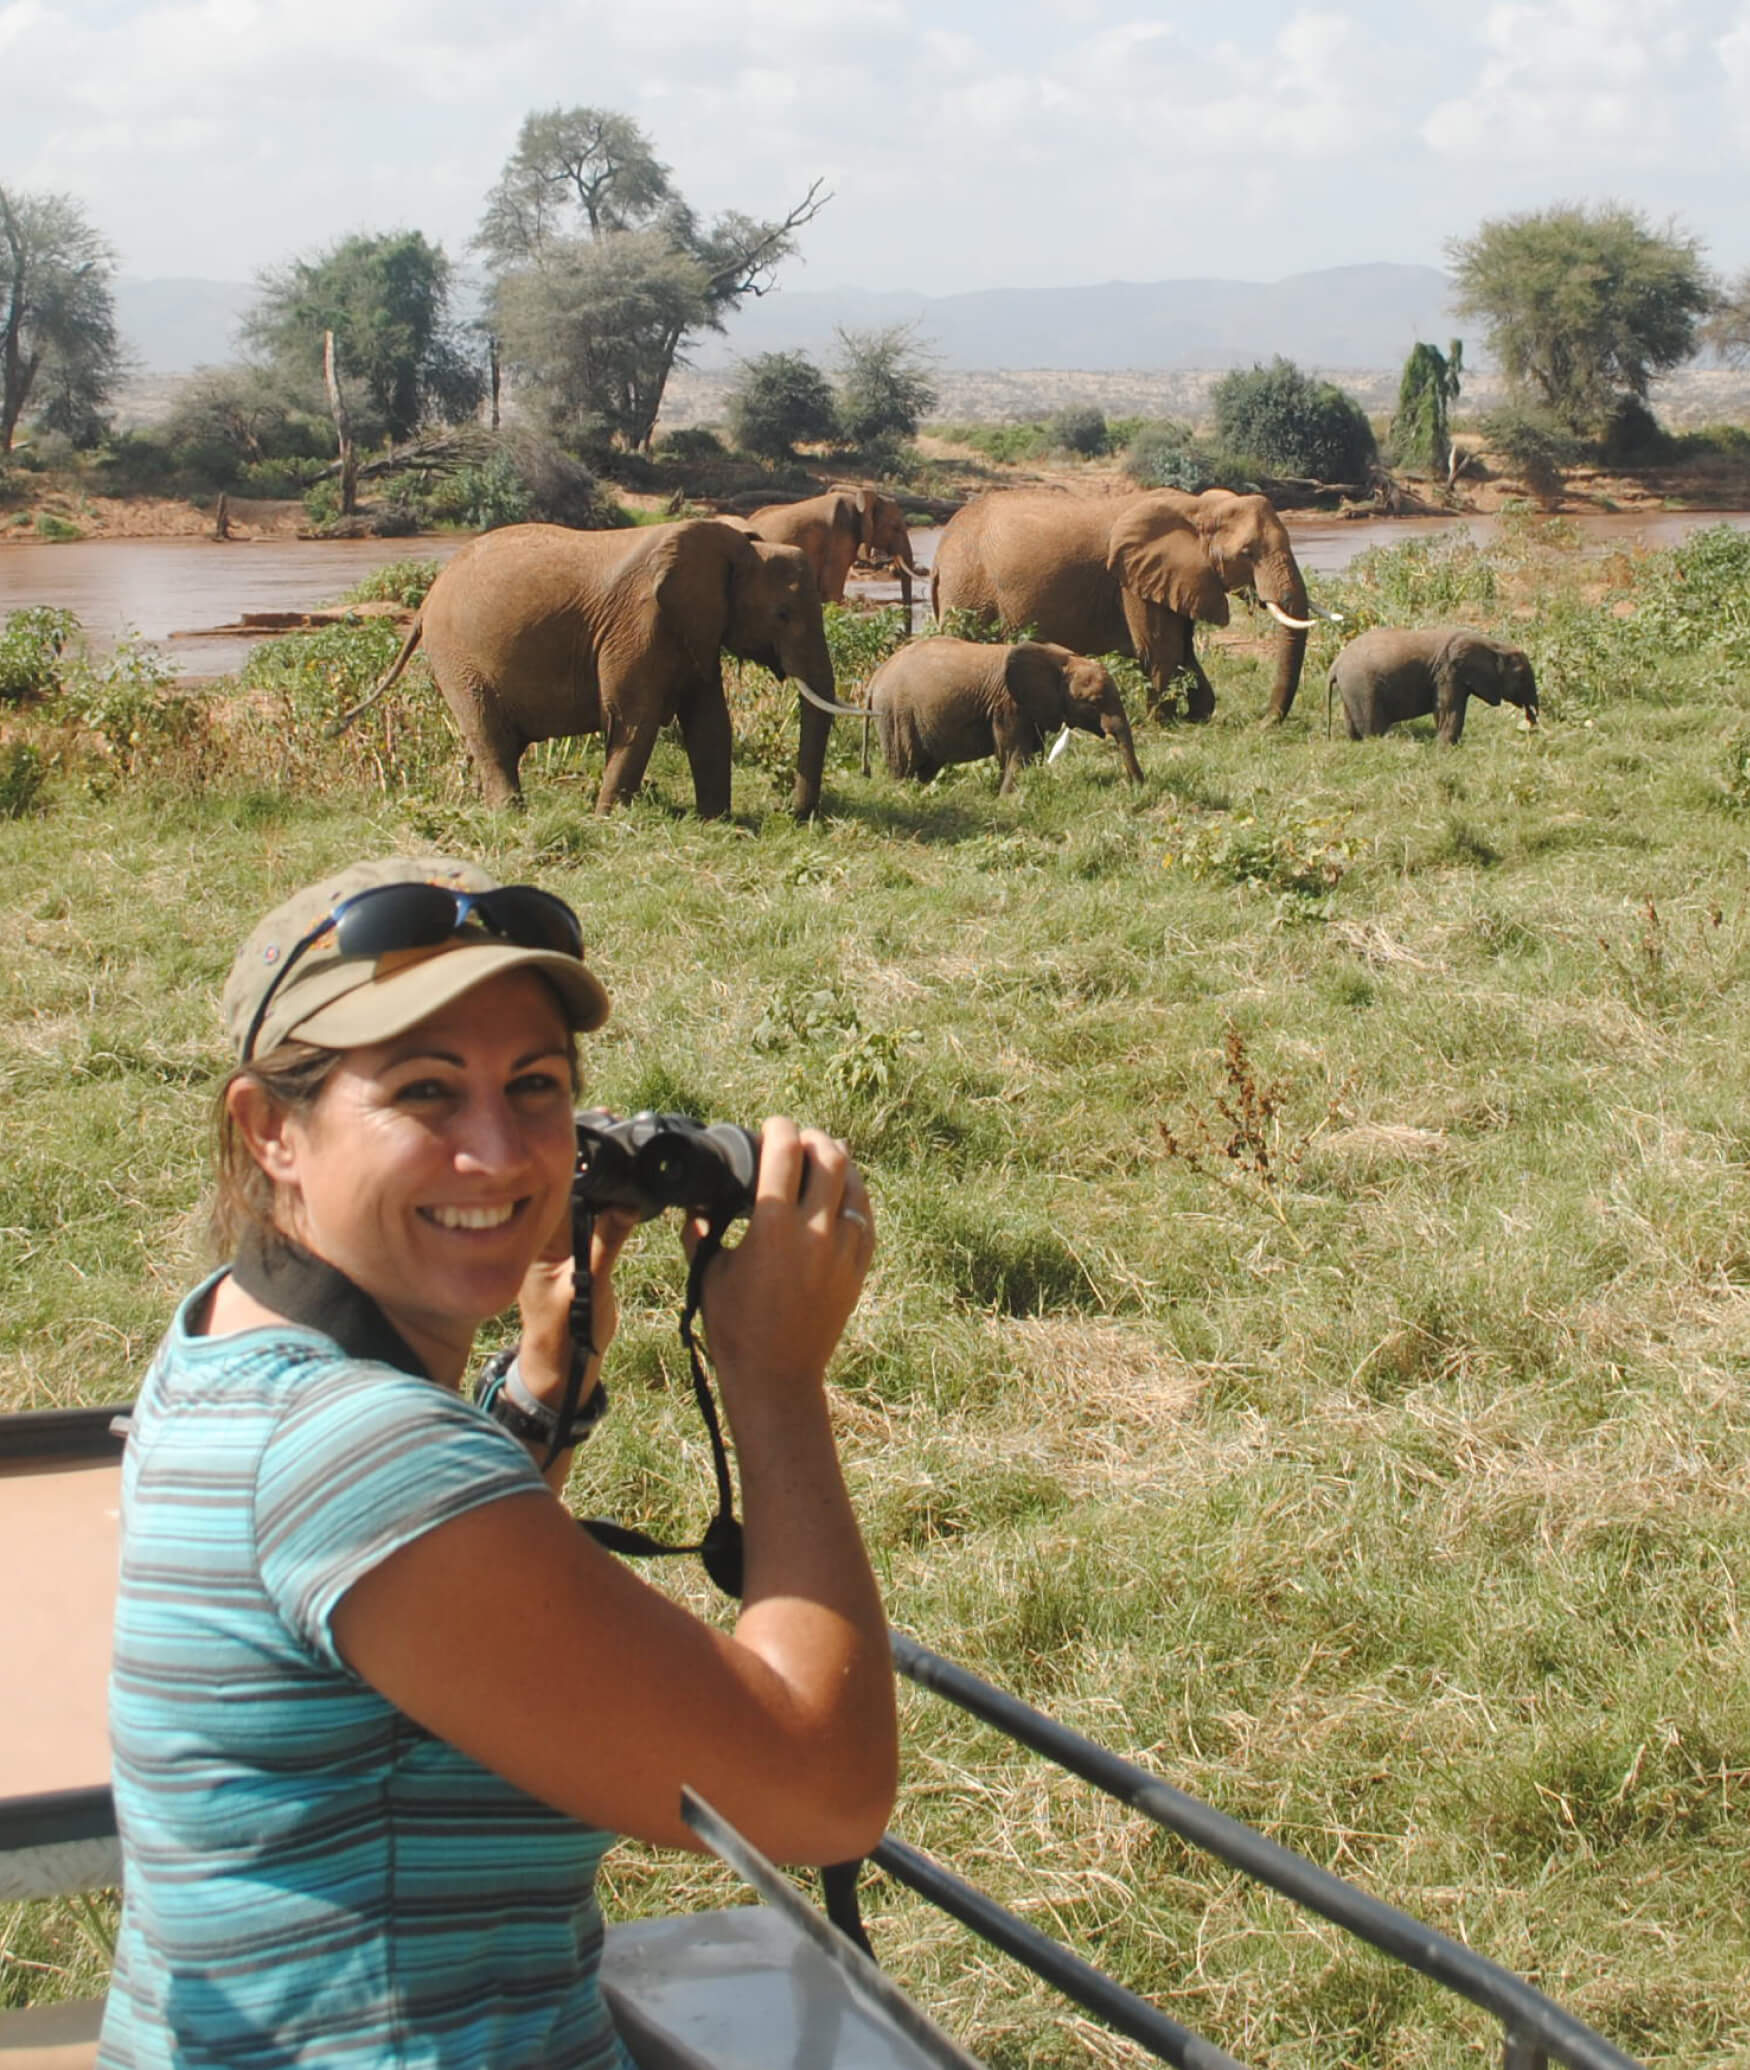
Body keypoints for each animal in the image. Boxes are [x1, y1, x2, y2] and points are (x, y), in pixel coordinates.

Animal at [329, 517, 865, 815]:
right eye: (783, 614)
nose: (792, 814)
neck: (741, 546)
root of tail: (427, 598)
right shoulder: (637, 625)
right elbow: (633, 718)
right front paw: (608, 820)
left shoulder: (694, 626)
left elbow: (710, 720)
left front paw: (718, 821)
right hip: (456, 657)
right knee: (487, 733)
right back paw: (511, 817)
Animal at [865, 629, 1143, 790]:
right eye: (1094, 701)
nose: (1137, 786)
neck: (1062, 659)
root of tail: (875, 678)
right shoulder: (1008, 705)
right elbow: (1014, 753)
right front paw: (1008, 799)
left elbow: (1033, 751)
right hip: (895, 714)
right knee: (904, 765)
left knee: (925, 766)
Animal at [927, 492, 1308, 728]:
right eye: (1247, 553)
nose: (1262, 723)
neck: (1198, 506)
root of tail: (939, 555)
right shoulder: (1133, 583)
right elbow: (1162, 650)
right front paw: (1166, 723)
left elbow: (1184, 652)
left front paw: (1197, 716)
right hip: (968, 588)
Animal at [1333, 625, 1532, 749]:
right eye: (1522, 676)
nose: (1531, 728)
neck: (1493, 644)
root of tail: (1336, 663)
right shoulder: (1448, 672)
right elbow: (1449, 709)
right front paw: (1446, 749)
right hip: (1363, 688)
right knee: (1374, 729)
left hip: (1352, 690)